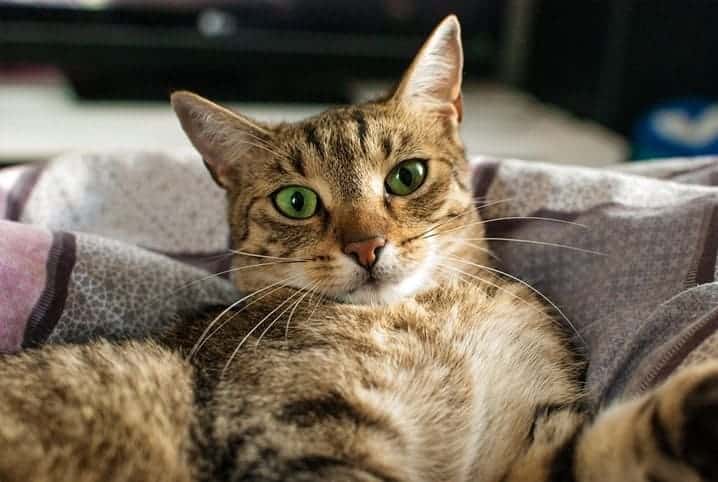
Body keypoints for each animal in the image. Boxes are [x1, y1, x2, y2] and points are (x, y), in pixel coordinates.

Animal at [1, 15, 718, 482]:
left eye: (406, 176)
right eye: (296, 201)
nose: (367, 246)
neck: (426, 317)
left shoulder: (531, 438)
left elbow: (607, 447)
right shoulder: (293, 432)